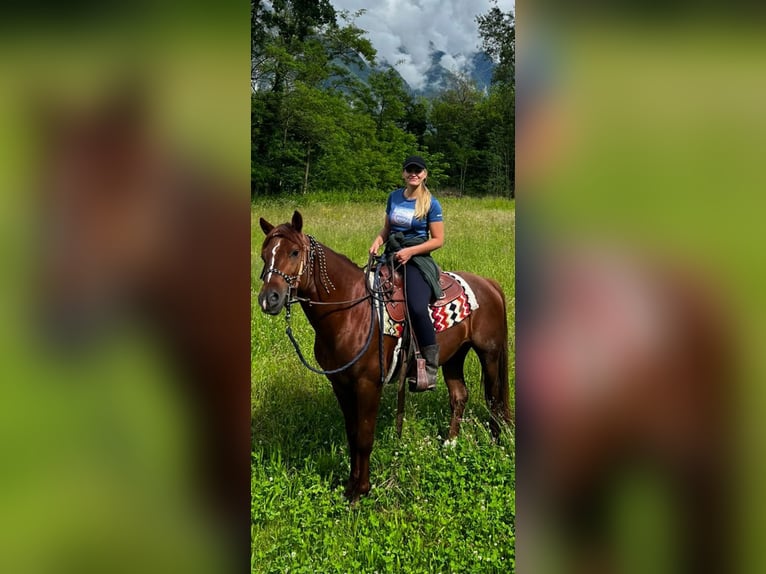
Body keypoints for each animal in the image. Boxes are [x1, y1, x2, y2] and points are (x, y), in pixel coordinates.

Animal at [260, 213, 516, 504]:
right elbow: (352, 434)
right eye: (264, 255)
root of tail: (488, 283)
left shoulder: (368, 384)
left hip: (490, 353)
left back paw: (496, 444)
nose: (269, 299)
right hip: (454, 356)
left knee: (494, 399)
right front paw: (350, 486)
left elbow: (364, 437)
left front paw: (361, 491)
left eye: (294, 252)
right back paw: (450, 443)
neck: (351, 311)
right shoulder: (340, 384)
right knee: (459, 396)